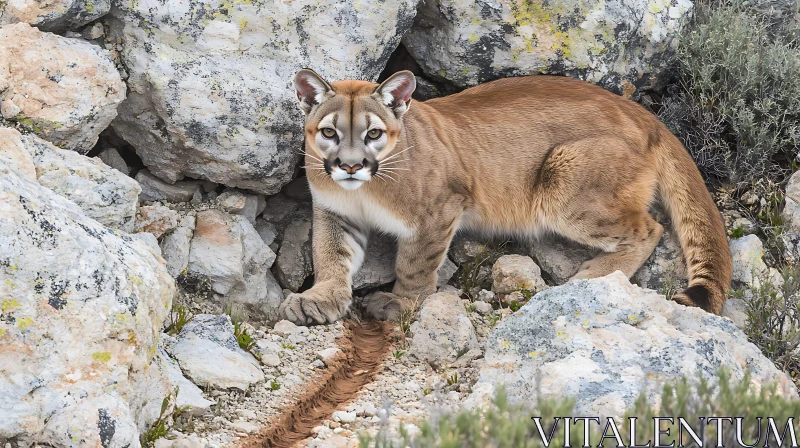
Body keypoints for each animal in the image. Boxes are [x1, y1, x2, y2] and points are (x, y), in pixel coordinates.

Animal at [278, 68, 736, 324]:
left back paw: (592, 276)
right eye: (329, 132)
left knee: (650, 227)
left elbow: (414, 266)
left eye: (373, 134)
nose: (350, 166)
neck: (366, 190)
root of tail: (644, 113)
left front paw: (402, 304)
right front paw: (320, 299)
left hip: (562, 182)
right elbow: (329, 256)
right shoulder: (335, 212)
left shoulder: (439, 210)